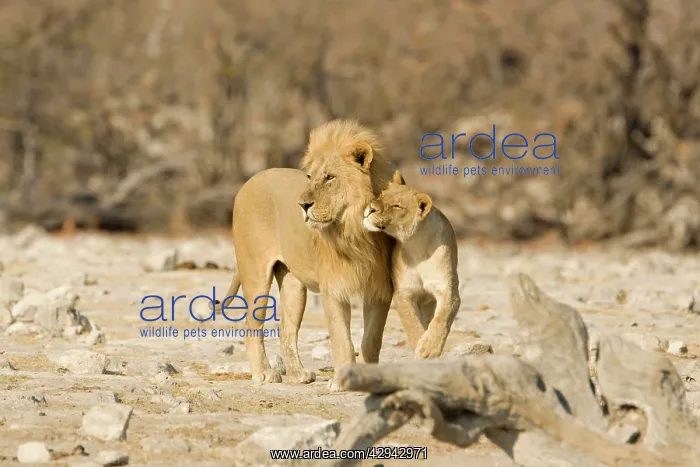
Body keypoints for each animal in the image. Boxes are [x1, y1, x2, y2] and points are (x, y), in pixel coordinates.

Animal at [216, 119, 396, 388]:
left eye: (330, 177)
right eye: (310, 177)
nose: (302, 205)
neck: (354, 231)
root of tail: (249, 181)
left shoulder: (380, 290)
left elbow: (372, 340)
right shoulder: (334, 288)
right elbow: (342, 340)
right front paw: (341, 381)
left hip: (294, 285)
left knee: (287, 331)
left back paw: (298, 374)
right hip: (255, 273)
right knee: (251, 325)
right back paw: (264, 373)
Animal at [363, 170, 461, 359]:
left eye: (397, 206)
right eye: (382, 196)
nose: (370, 208)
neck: (417, 245)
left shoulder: (447, 289)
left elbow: (442, 318)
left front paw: (429, 348)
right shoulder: (403, 292)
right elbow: (412, 323)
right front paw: (420, 346)